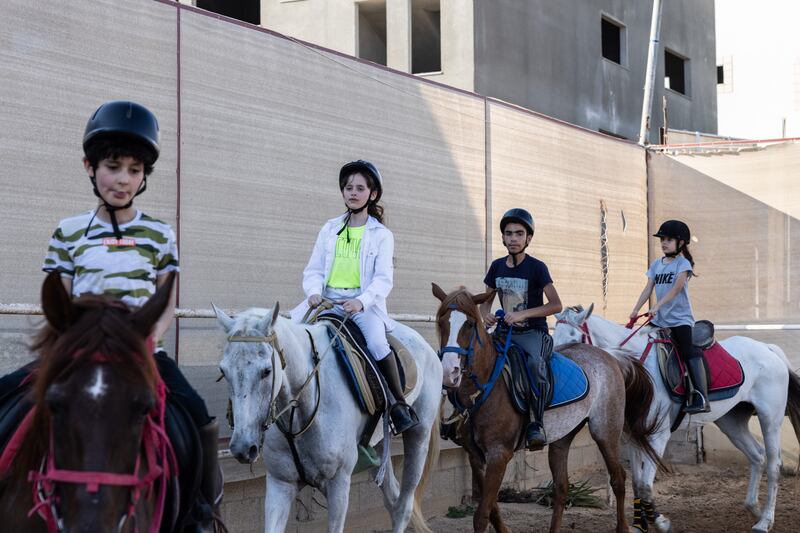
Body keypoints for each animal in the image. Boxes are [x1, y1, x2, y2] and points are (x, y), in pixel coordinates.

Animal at [432, 284, 664, 532]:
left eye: (469, 324)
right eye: (442, 322)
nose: (449, 373)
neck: (486, 387)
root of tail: (610, 356)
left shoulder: (498, 454)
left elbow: (482, 515)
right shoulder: (475, 457)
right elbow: (492, 509)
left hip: (605, 431)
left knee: (618, 478)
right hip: (562, 438)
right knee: (561, 488)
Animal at [552, 304, 800, 532]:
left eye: (574, 338)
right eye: (554, 338)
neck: (639, 372)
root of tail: (767, 348)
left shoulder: (658, 436)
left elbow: (645, 484)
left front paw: (661, 523)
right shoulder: (633, 436)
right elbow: (637, 482)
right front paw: (640, 525)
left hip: (770, 419)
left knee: (774, 464)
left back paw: (765, 521)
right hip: (731, 422)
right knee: (756, 456)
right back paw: (754, 509)